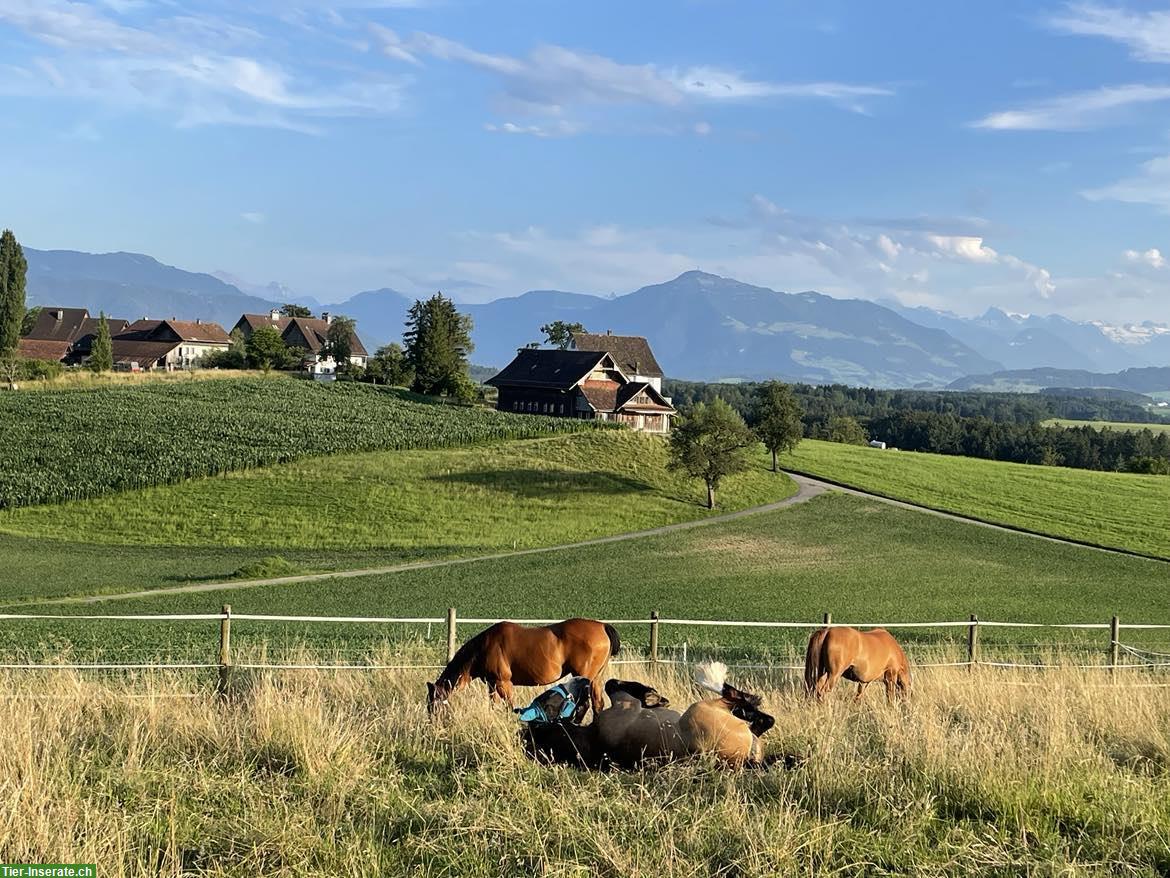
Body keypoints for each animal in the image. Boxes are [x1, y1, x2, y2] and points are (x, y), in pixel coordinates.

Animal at [425, 618, 617, 716]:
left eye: (433, 704)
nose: (432, 722)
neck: (483, 648)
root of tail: (602, 626)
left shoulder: (503, 683)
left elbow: (510, 706)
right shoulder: (492, 684)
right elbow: (493, 706)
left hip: (585, 677)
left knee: (585, 705)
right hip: (596, 678)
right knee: (597, 704)